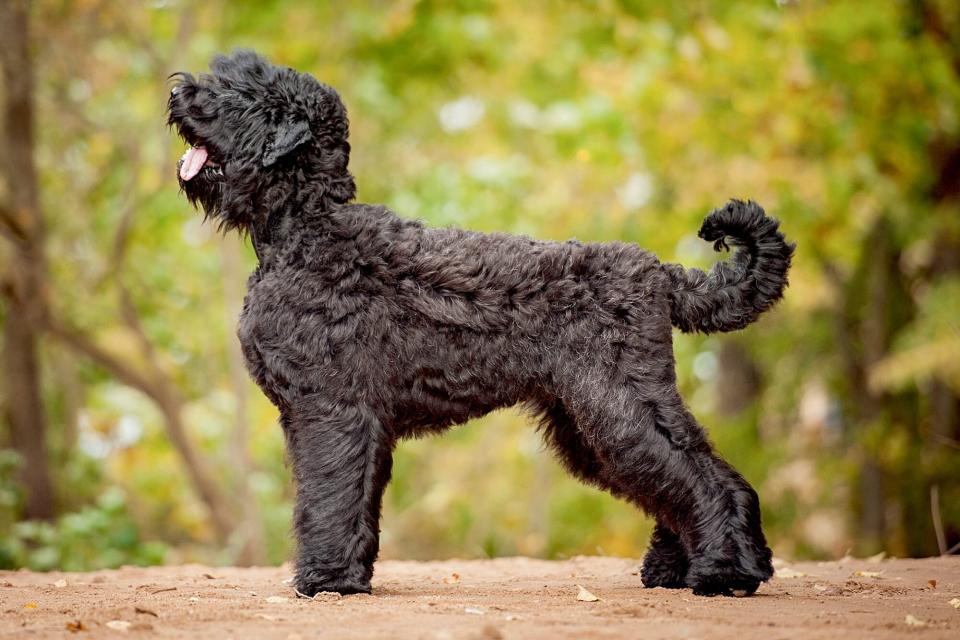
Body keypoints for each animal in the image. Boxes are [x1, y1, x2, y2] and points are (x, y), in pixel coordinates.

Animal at [171, 51, 796, 600]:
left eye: (243, 92)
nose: (180, 92)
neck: (306, 229)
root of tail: (661, 274)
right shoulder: (345, 418)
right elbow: (354, 500)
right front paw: (349, 575)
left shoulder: (330, 408)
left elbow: (328, 495)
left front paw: (326, 581)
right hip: (588, 420)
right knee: (678, 478)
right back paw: (676, 569)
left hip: (618, 406)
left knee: (701, 476)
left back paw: (725, 574)